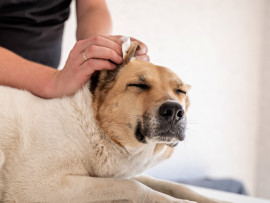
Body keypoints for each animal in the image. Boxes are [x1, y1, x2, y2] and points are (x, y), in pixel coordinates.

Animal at [0, 43, 226, 203]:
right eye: (138, 85)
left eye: (180, 91)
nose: (174, 111)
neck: (93, 127)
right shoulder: (43, 186)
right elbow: (134, 186)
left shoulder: (116, 173)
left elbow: (174, 185)